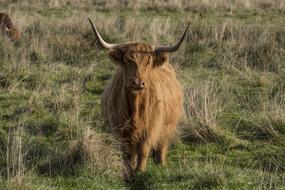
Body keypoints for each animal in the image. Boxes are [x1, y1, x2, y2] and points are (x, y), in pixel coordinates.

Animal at [87, 17, 187, 180]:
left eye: (148, 62)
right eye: (127, 61)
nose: (137, 83)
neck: (135, 108)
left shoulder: (151, 127)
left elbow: (144, 150)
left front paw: (140, 171)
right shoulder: (120, 129)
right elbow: (127, 153)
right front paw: (128, 173)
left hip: (168, 125)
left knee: (162, 147)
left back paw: (160, 164)